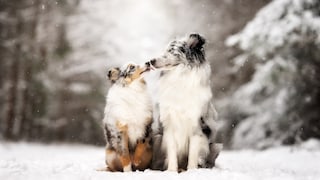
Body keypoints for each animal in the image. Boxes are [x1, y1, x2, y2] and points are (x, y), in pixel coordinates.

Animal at [147, 33, 220, 172]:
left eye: (172, 51)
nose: (150, 61)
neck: (179, 77)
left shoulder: (196, 126)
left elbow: (193, 153)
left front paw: (192, 170)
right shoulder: (169, 125)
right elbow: (172, 151)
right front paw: (171, 171)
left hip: (214, 146)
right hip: (158, 138)